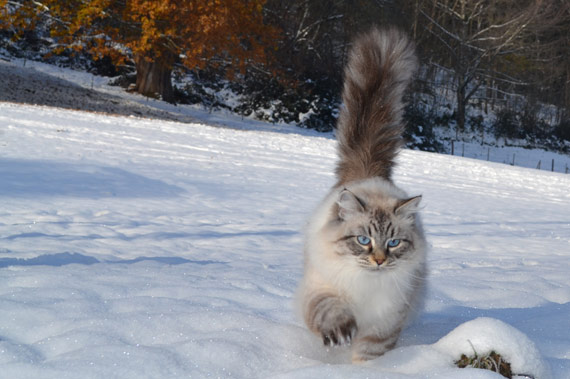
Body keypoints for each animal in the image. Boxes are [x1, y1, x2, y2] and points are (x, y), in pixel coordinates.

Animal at [298, 26, 426, 362]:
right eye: (363, 240)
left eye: (393, 243)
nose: (379, 261)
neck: (367, 285)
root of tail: (369, 173)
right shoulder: (322, 290)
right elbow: (331, 312)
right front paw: (341, 334)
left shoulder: (385, 325)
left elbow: (367, 356)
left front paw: (357, 369)